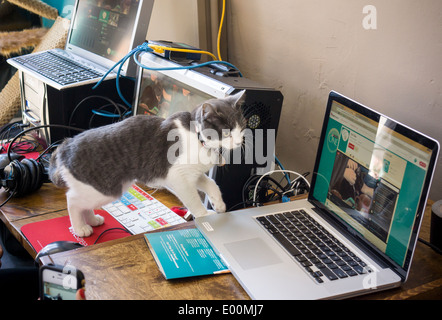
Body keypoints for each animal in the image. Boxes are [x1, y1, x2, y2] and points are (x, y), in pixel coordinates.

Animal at [50, 91, 247, 236]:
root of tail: (65, 146)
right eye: (227, 132)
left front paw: (218, 204)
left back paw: (92, 219)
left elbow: (212, 184)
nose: (239, 142)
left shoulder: (194, 174)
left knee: (82, 203)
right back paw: (80, 228)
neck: (198, 138)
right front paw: (205, 216)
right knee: (72, 200)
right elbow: (194, 200)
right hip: (104, 189)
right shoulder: (179, 178)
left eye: (242, 127)